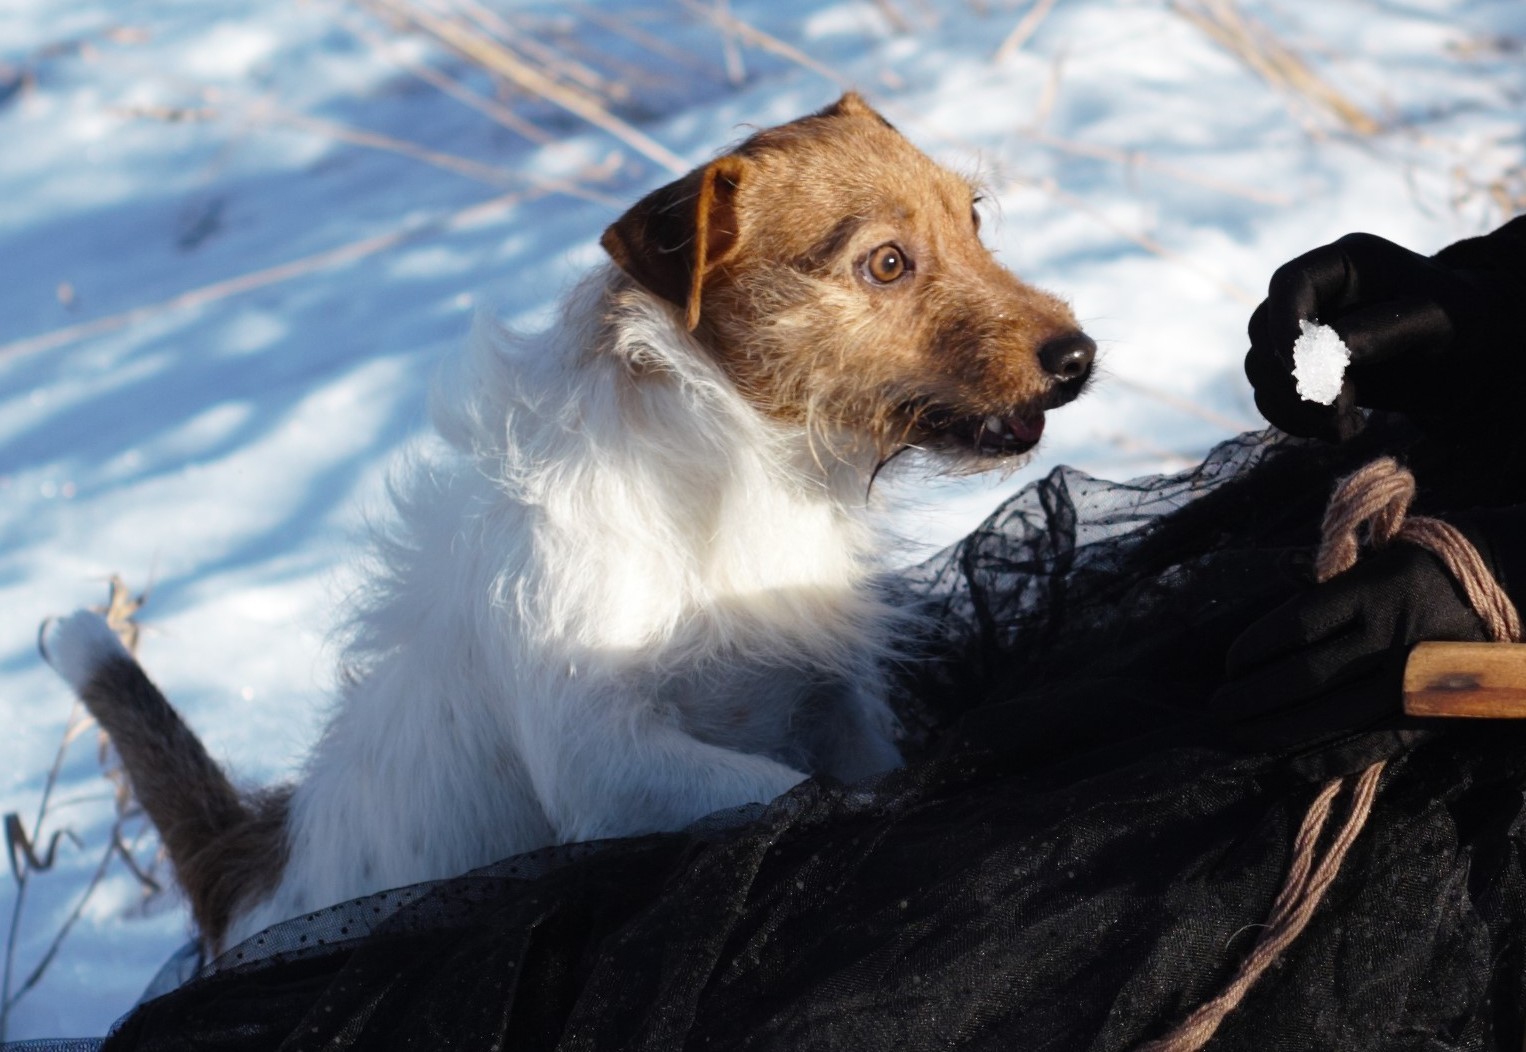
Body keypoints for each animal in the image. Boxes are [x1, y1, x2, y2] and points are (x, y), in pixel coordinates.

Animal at [38, 94, 1098, 952]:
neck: (742, 463)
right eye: (885, 262)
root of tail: (253, 868)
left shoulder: (835, 702)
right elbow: (792, 794)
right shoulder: (612, 763)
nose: (1078, 355)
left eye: (974, 218)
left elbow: (859, 765)